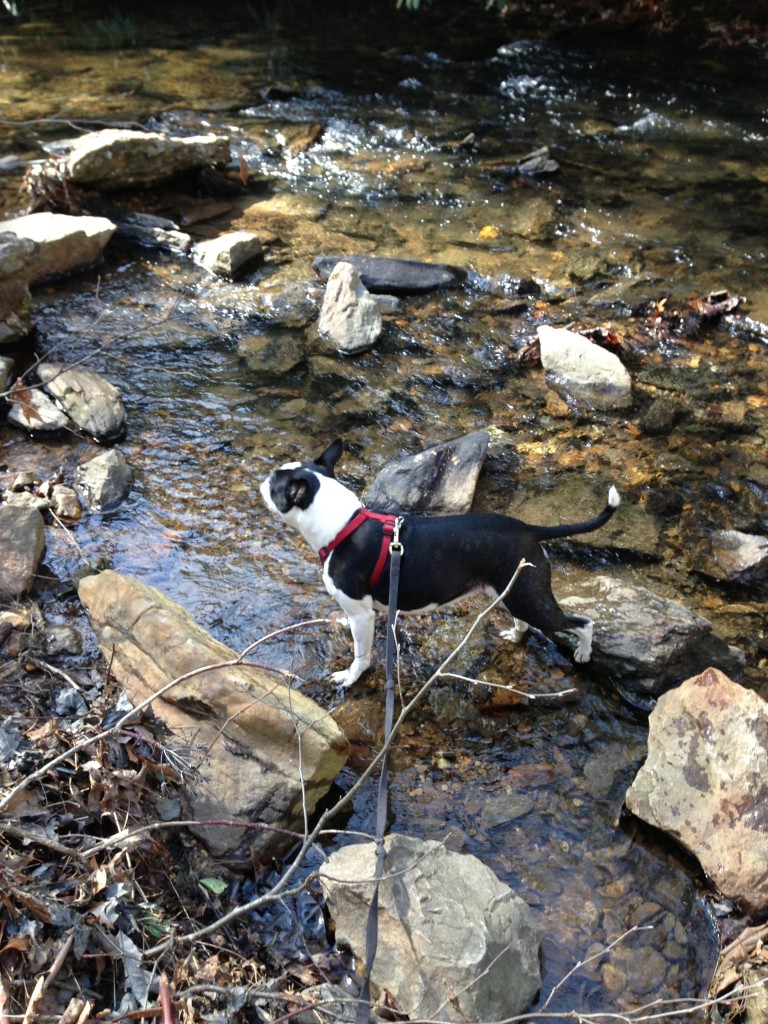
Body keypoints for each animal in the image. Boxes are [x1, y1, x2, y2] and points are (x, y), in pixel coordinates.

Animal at [262, 440, 622, 688]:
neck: (343, 525)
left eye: (275, 485)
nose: (262, 479)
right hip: (514, 589)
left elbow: (361, 655)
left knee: (582, 623)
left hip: (531, 599)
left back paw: (583, 653)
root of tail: (528, 529)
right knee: (524, 620)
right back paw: (515, 635)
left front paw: (349, 678)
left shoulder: (362, 616)